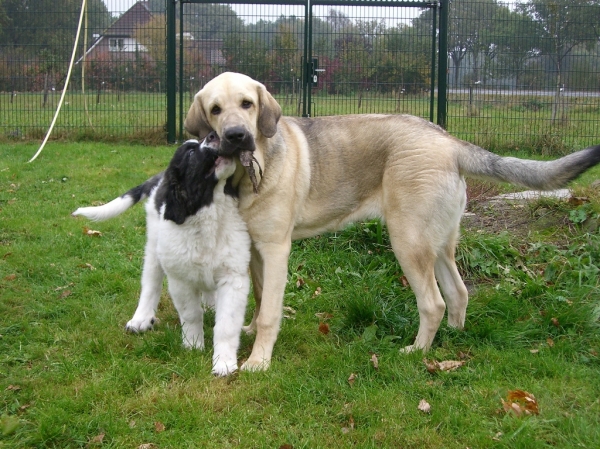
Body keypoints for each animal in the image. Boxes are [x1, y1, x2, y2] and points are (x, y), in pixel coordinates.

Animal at [73, 134, 251, 374]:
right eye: (191, 153)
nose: (213, 135)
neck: (209, 210)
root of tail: (160, 178)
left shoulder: (233, 277)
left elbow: (226, 324)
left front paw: (224, 362)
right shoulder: (179, 278)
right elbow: (191, 314)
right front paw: (193, 346)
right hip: (154, 248)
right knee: (150, 284)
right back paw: (141, 318)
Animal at [185, 71, 596, 372]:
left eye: (247, 104)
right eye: (216, 109)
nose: (237, 136)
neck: (248, 174)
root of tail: (450, 141)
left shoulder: (275, 250)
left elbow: (270, 311)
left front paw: (258, 360)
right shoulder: (256, 250)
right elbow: (258, 300)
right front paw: (249, 330)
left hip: (408, 241)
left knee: (434, 302)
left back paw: (417, 351)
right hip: (438, 243)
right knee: (458, 293)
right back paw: (452, 340)